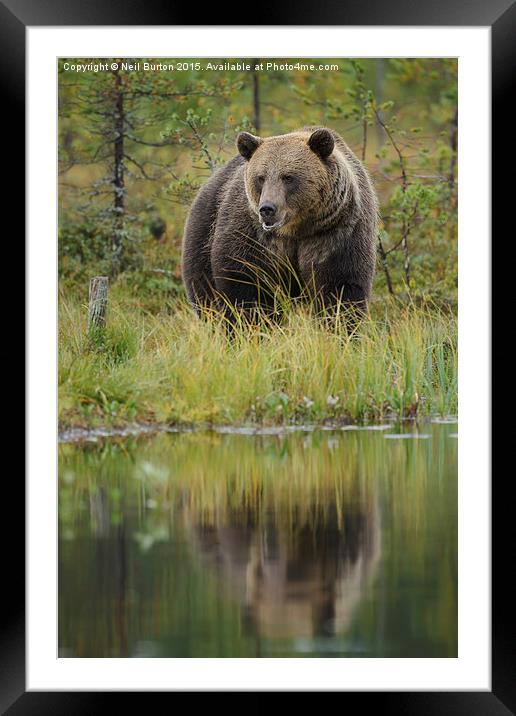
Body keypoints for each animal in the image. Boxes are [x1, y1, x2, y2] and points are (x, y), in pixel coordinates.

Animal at [181, 126, 378, 322]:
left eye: (288, 177)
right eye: (260, 177)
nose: (267, 209)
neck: (296, 230)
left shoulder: (336, 234)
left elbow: (340, 287)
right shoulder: (254, 238)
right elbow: (246, 284)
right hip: (203, 233)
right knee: (206, 297)